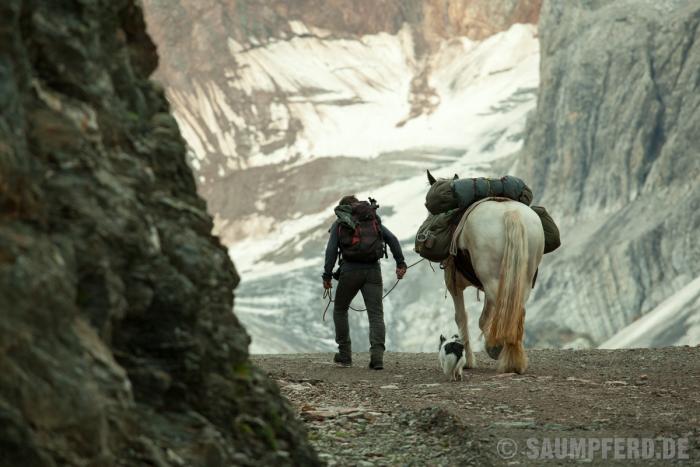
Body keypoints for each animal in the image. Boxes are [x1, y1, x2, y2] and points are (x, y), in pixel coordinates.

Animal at [426, 171, 548, 372]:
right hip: (523, 279)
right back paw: (513, 359)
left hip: (491, 280)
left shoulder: (453, 284)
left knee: (500, 312)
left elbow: (462, 317)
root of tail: (510, 213)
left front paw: (469, 360)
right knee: (517, 311)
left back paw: (497, 350)